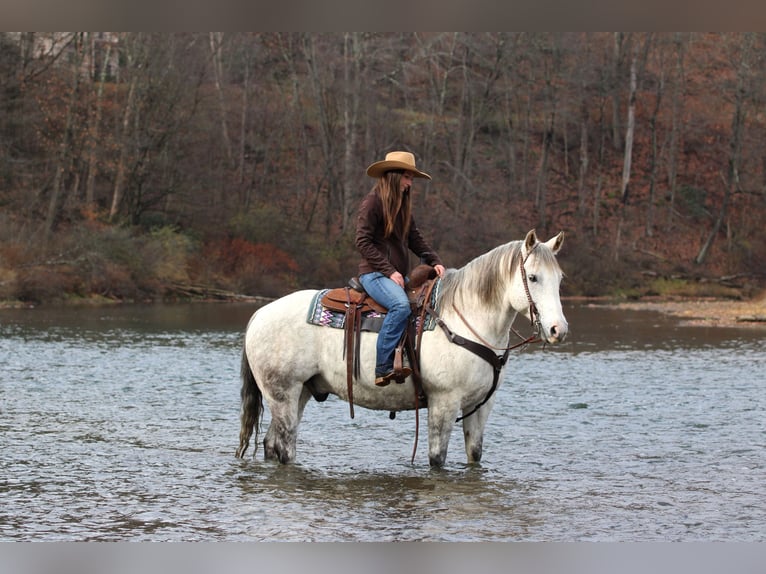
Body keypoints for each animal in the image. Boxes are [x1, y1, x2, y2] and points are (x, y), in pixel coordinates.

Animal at [236, 229, 568, 468]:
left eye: (559, 278)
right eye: (533, 277)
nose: (558, 330)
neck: (465, 319)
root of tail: (259, 314)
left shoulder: (481, 405)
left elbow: (474, 455)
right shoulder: (444, 402)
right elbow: (437, 459)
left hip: (300, 392)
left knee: (270, 444)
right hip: (283, 393)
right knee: (285, 447)